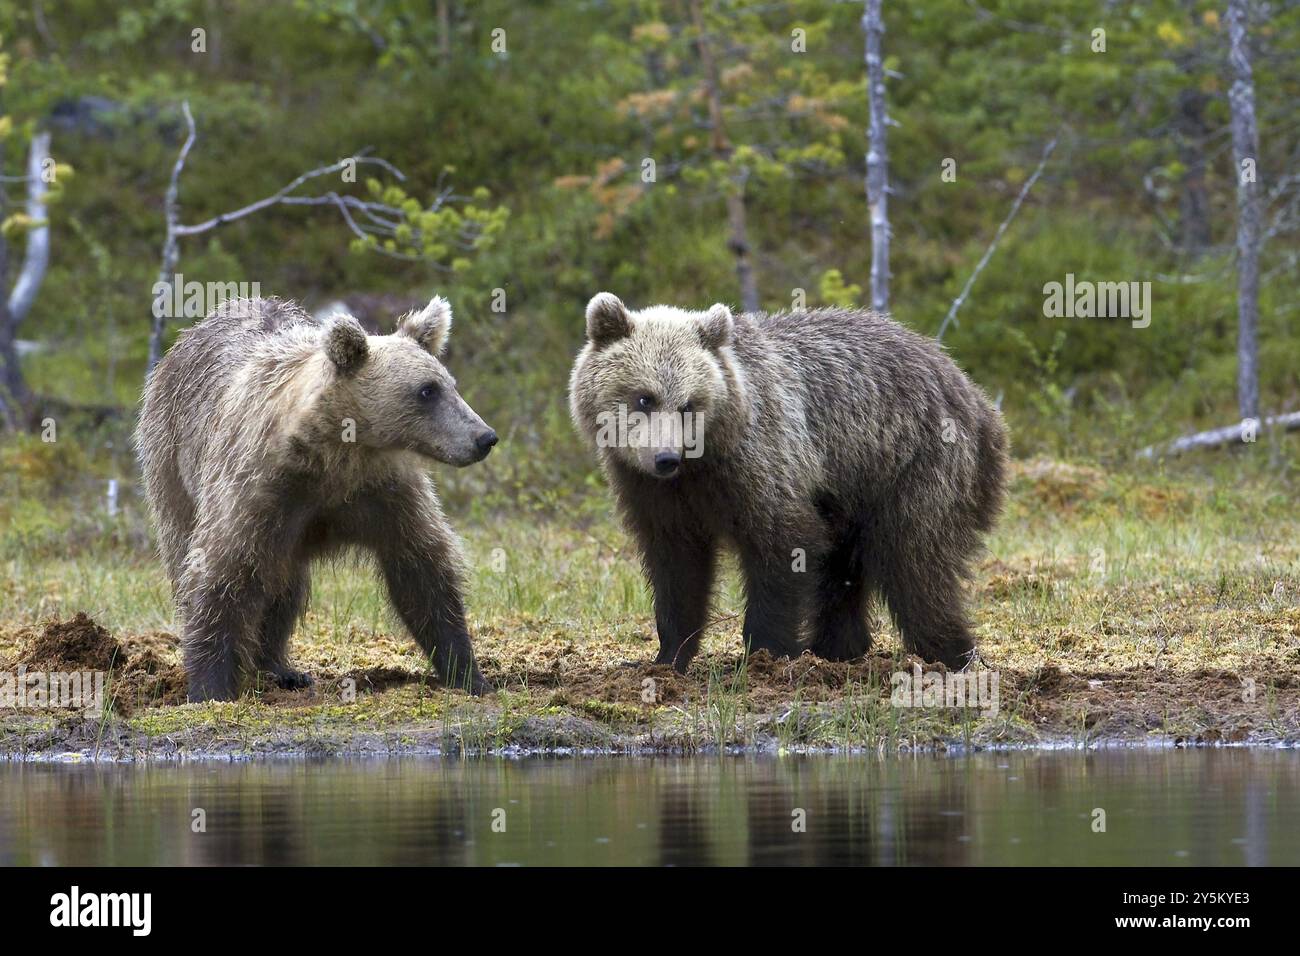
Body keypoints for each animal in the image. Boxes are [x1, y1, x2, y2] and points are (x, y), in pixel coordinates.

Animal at [134, 297, 493, 702]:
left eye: (450, 384)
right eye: (427, 391)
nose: (484, 437)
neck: (336, 455)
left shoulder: (385, 492)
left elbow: (423, 569)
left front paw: (469, 673)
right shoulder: (260, 489)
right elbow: (222, 572)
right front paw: (210, 688)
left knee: (285, 586)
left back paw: (280, 668)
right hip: (169, 458)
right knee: (188, 546)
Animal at [569, 291, 1003, 671]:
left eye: (689, 404)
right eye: (644, 398)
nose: (665, 458)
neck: (701, 466)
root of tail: (978, 399)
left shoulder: (762, 462)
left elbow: (782, 546)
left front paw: (763, 654)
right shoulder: (653, 493)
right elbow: (678, 568)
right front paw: (666, 657)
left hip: (912, 463)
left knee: (915, 564)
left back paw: (951, 655)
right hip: (853, 486)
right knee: (846, 568)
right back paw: (837, 649)